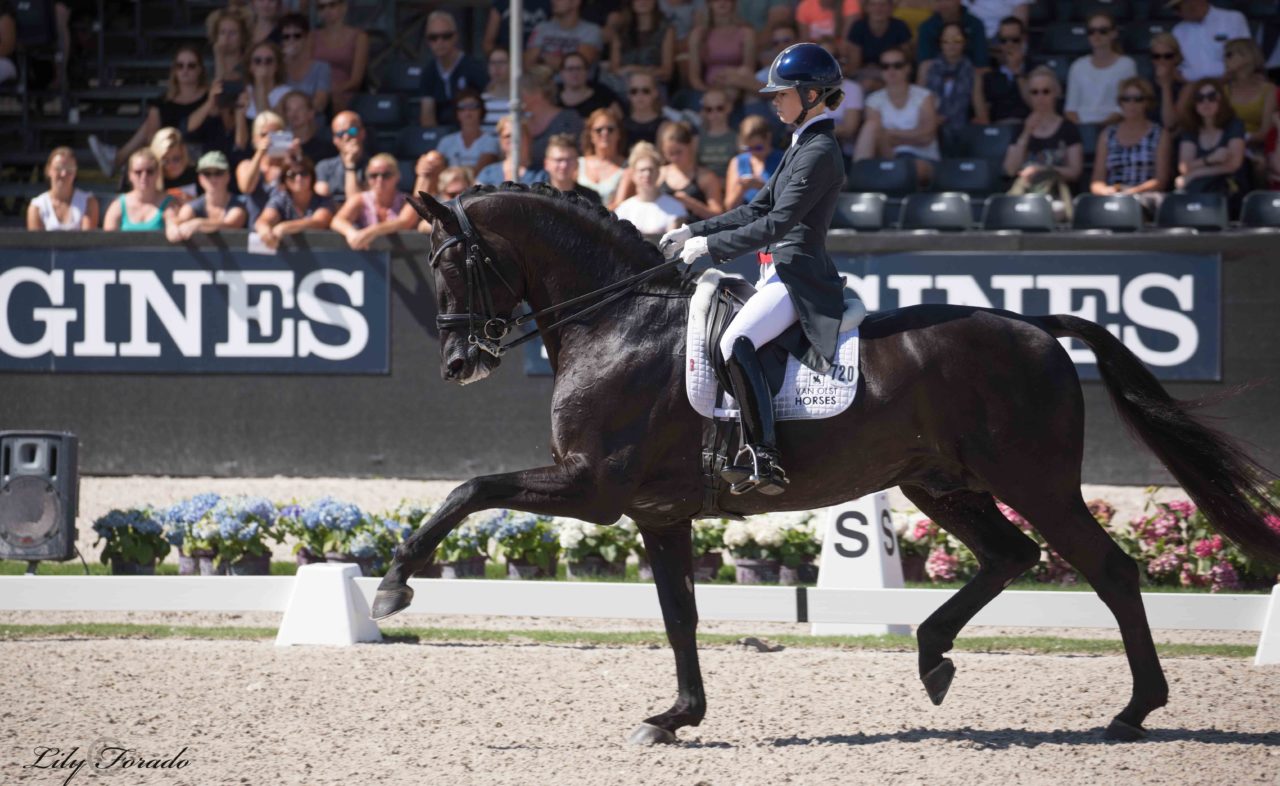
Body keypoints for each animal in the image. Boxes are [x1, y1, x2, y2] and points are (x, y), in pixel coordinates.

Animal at [376, 183, 1280, 747]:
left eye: (455, 262)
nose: (459, 363)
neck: (620, 321)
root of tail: (1034, 326)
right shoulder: (658, 515)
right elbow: (680, 618)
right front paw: (676, 716)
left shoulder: (593, 488)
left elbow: (467, 488)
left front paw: (392, 587)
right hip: (939, 483)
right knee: (1010, 556)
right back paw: (932, 655)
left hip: (1035, 481)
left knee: (1109, 570)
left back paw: (1134, 710)